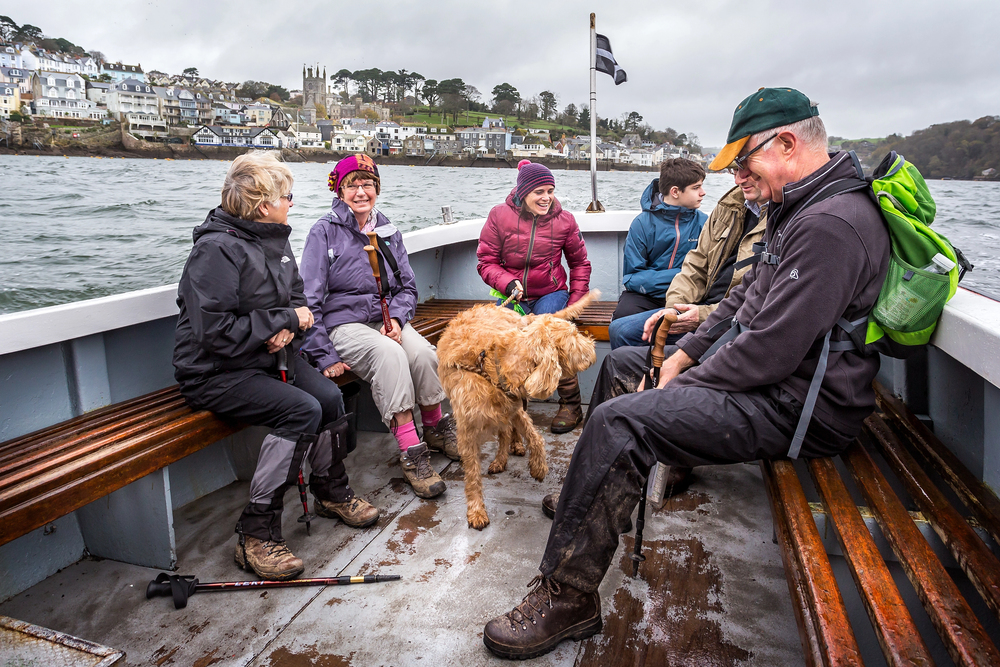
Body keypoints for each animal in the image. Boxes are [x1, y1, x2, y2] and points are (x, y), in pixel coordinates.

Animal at [440, 290, 600, 528]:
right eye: (573, 335)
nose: (592, 343)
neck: (494, 367)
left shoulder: (515, 409)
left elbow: (535, 437)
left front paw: (539, 467)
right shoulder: (468, 431)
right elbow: (472, 474)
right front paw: (476, 511)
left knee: (508, 431)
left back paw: (513, 447)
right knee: (504, 431)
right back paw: (501, 458)